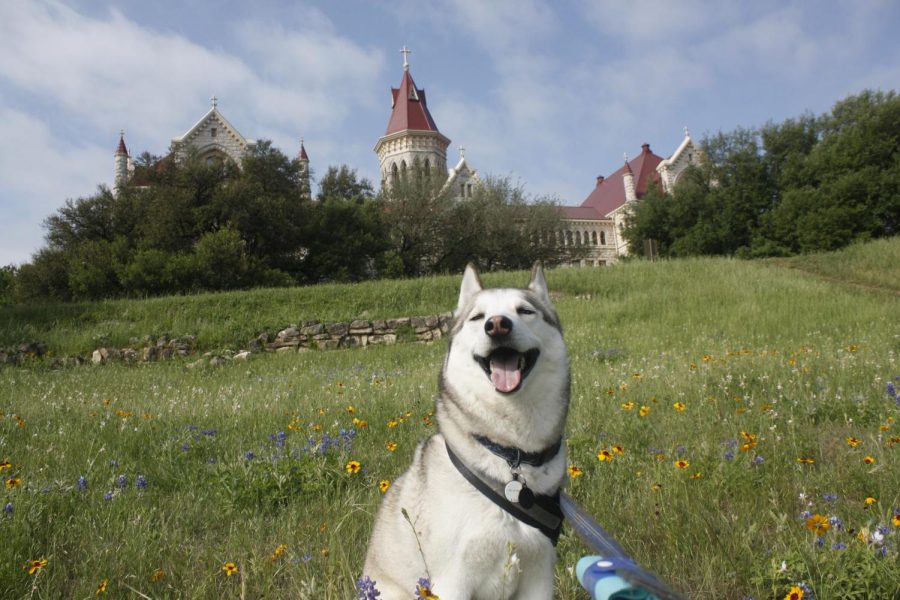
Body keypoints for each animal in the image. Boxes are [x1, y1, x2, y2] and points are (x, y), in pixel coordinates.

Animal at [360, 264, 568, 600]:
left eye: (525, 311)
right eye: (478, 317)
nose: (497, 326)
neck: (510, 454)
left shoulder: (539, 573)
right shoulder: (452, 580)